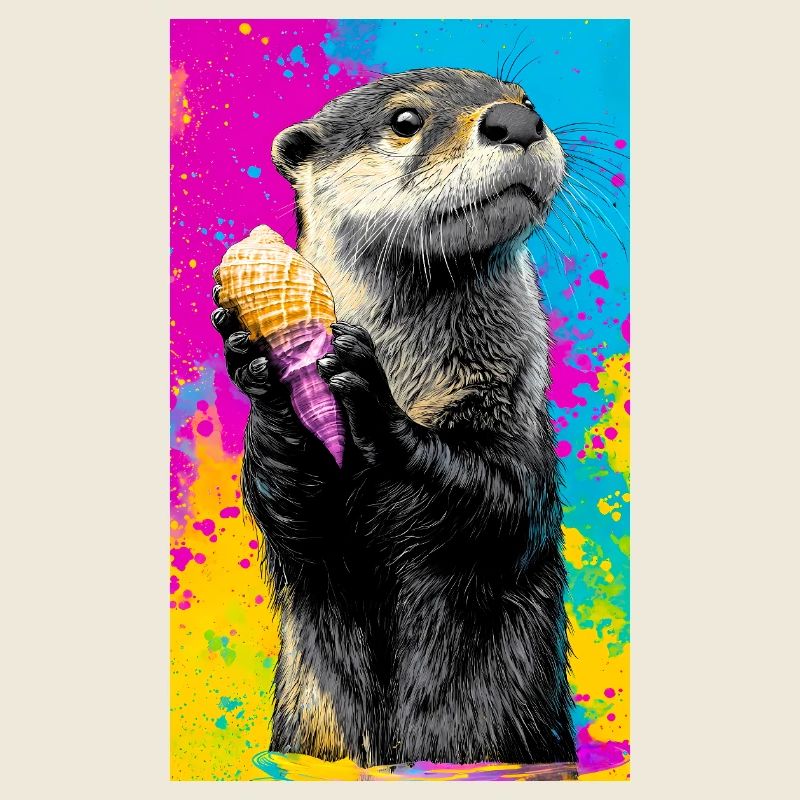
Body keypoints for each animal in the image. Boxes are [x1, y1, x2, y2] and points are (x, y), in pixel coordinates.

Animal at [211, 68, 576, 768]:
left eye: (527, 100)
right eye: (405, 121)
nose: (515, 121)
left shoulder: (517, 421)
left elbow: (499, 500)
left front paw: (374, 403)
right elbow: (297, 521)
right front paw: (258, 373)